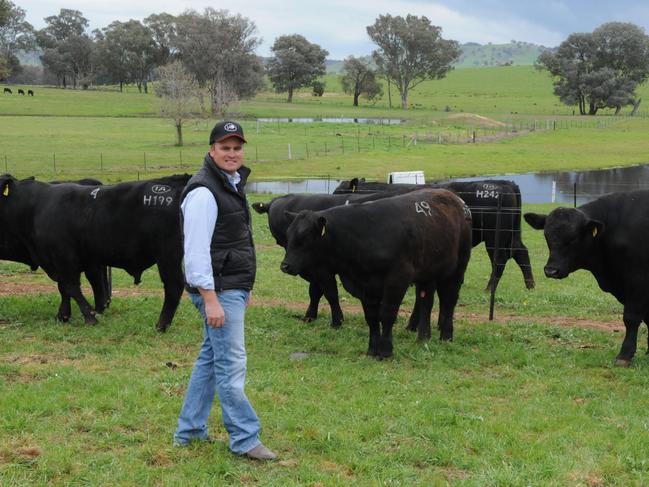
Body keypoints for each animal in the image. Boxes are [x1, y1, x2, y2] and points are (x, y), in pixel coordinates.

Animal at [0, 174, 190, 332]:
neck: (35, 207)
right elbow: (66, 287)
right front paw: (63, 315)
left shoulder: (64, 258)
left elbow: (70, 287)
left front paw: (89, 317)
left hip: (168, 255)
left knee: (173, 286)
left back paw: (161, 325)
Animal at [332, 179, 536, 294]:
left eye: (338, 191)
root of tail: (505, 183)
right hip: (510, 234)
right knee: (521, 252)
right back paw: (530, 285)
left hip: (495, 235)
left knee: (500, 258)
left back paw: (489, 288)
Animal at [524, 191, 648, 366]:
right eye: (547, 236)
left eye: (573, 238)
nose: (551, 270)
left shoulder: (637, 280)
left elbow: (631, 318)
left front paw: (624, 355)